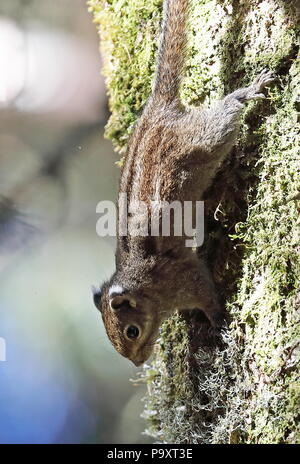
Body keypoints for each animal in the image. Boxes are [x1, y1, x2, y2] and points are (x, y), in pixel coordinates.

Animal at [93, 0, 274, 366]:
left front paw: (219, 321)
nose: (138, 362)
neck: (146, 286)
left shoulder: (185, 277)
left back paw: (249, 90)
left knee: (226, 111)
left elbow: (208, 295)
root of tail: (157, 110)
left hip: (204, 138)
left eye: (131, 331)